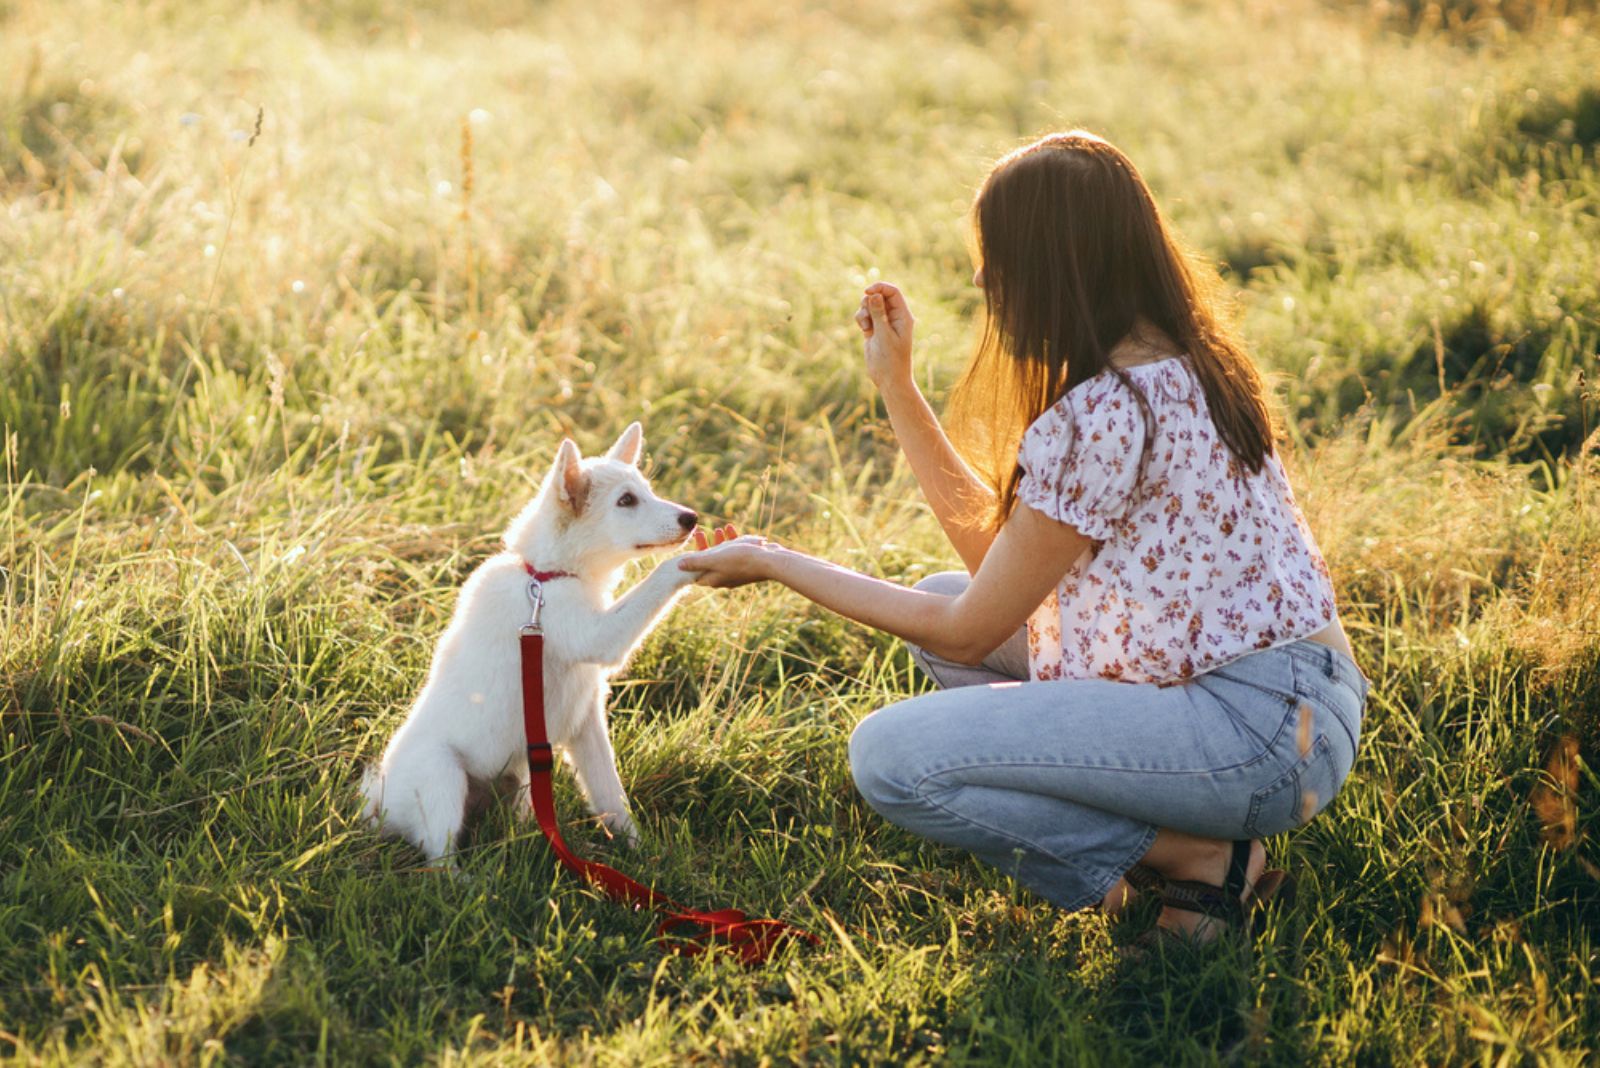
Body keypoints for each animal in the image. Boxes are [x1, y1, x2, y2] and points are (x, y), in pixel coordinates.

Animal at [366, 422, 700, 863]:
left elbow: (611, 795)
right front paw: (718, 554)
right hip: (444, 776)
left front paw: (642, 853)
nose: (692, 518)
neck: (544, 576)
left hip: (521, 775)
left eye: (646, 490)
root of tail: (378, 805)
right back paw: (465, 875)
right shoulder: (598, 636)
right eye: (626, 501)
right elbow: (660, 577)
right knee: (439, 857)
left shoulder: (587, 722)